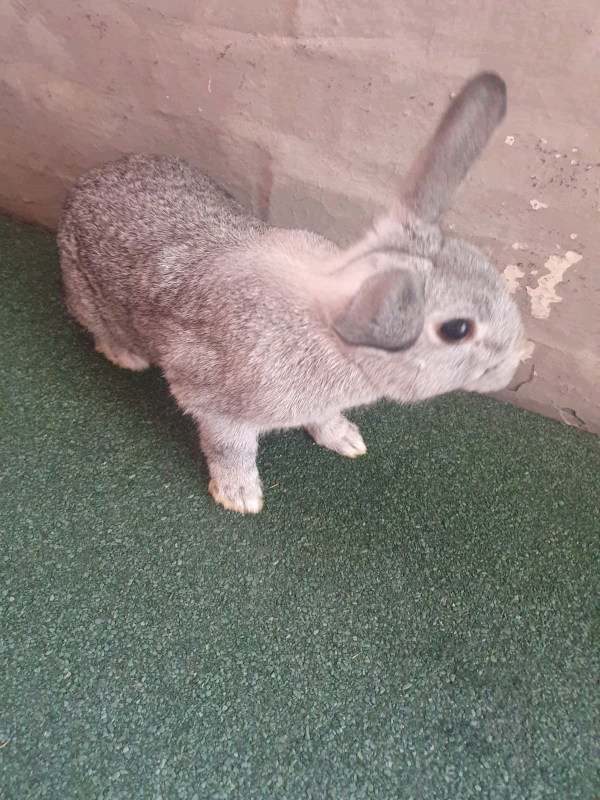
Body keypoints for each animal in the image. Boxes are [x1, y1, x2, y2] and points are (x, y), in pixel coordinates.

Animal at [58, 71, 525, 514]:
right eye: (457, 330)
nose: (513, 368)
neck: (331, 333)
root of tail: (81, 186)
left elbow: (324, 417)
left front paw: (346, 440)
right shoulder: (211, 402)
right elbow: (229, 448)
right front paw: (240, 497)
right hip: (86, 295)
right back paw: (126, 356)